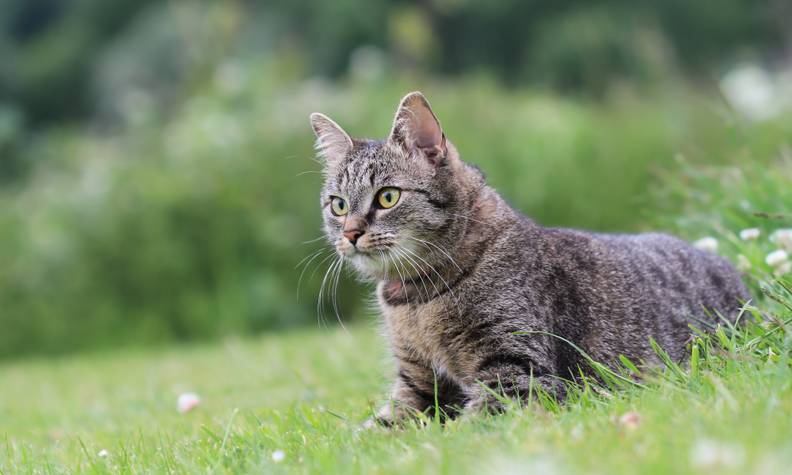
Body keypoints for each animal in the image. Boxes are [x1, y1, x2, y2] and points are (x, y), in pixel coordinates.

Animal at [310, 91, 748, 426]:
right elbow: (374, 432)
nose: (350, 233)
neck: (415, 300)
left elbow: (467, 428)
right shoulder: (417, 385)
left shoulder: (517, 372)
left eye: (387, 197)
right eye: (338, 204)